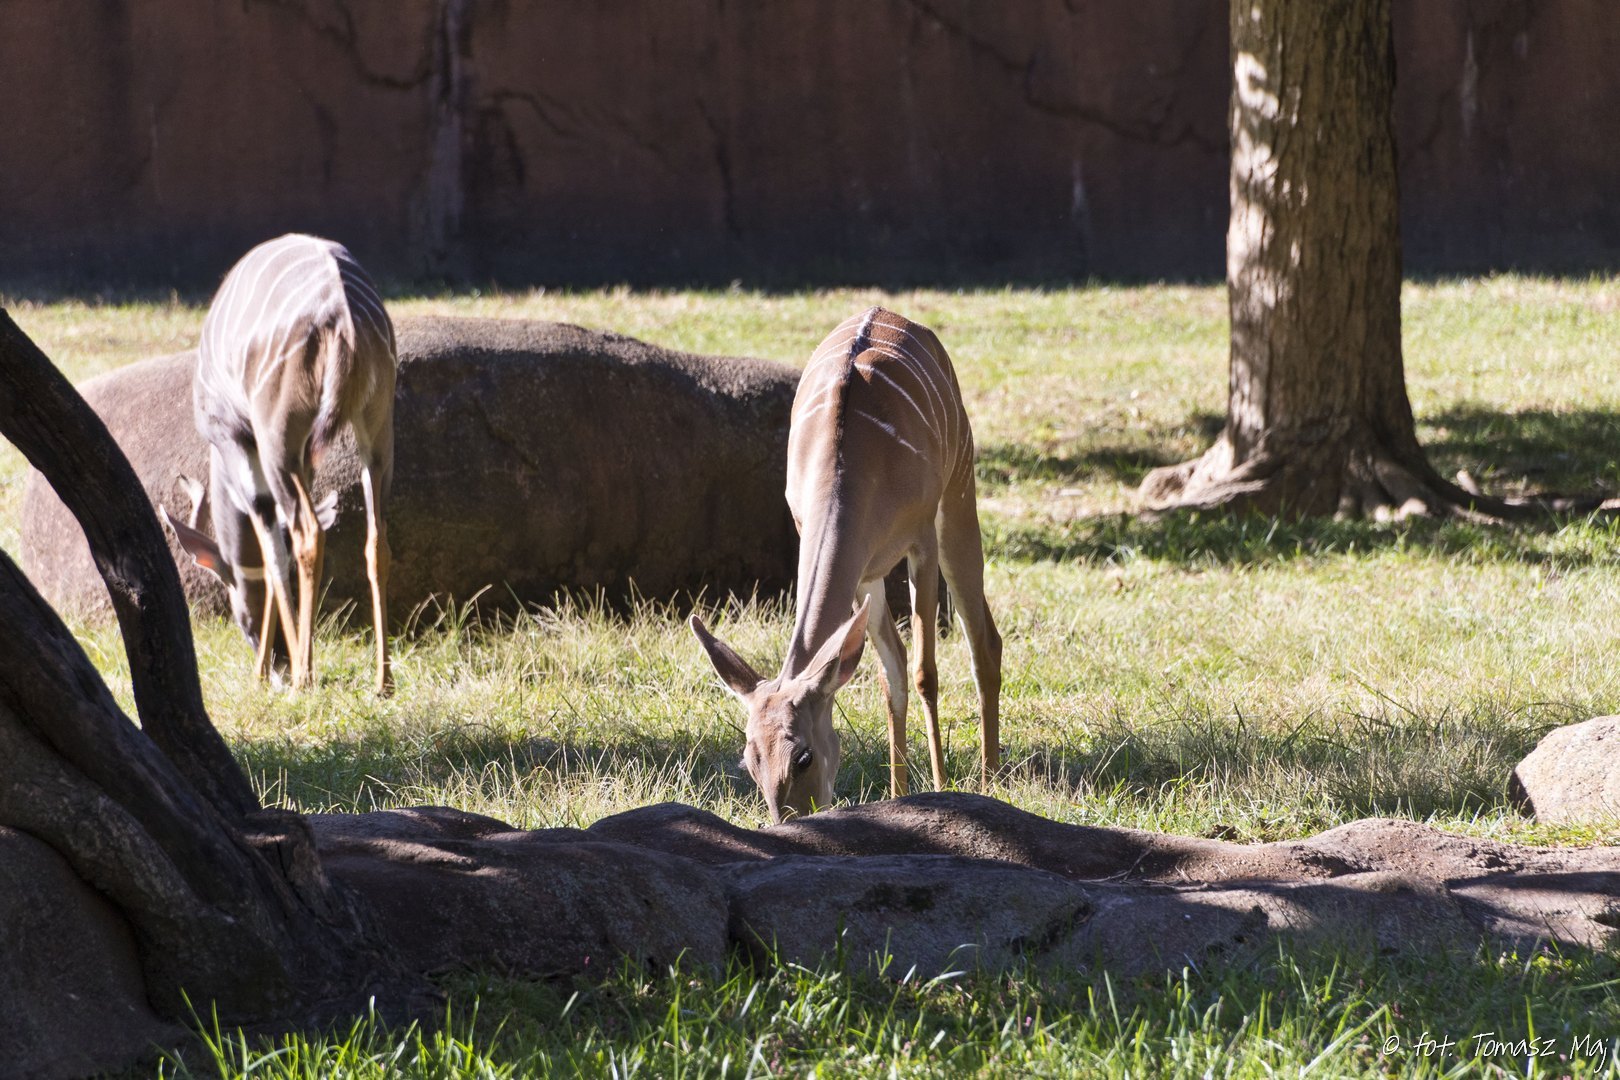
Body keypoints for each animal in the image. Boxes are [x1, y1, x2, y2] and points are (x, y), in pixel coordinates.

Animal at [162, 233, 396, 694]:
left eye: (232, 600)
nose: (278, 663)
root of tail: (344, 317)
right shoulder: (307, 455)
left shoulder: (236, 438)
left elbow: (272, 549)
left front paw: (268, 674)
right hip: (374, 435)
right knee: (376, 538)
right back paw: (383, 681)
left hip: (277, 439)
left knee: (306, 532)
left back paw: (306, 678)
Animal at [690, 306, 1002, 823]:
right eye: (750, 760)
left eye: (803, 756)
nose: (789, 821)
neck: (850, 463)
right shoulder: (854, 567)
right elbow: (890, 672)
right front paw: (901, 798)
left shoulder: (919, 541)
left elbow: (926, 673)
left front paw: (944, 790)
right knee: (901, 661)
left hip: (958, 496)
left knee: (983, 640)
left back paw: (992, 781)